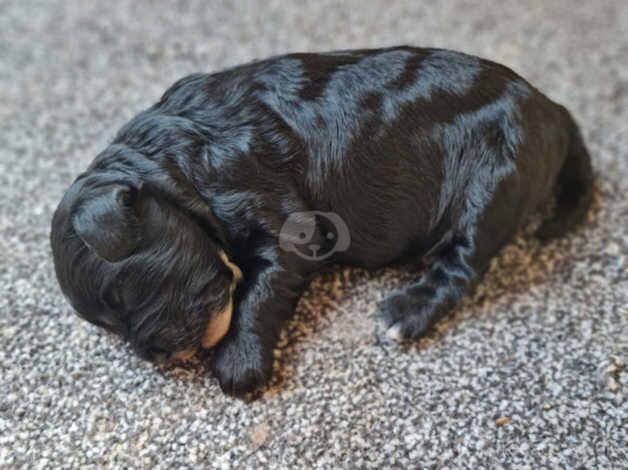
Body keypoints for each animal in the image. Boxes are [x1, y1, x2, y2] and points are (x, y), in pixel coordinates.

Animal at [50, 46, 592, 396]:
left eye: (125, 292)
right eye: (109, 323)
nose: (161, 357)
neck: (173, 163)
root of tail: (553, 110)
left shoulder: (286, 222)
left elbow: (260, 291)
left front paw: (239, 362)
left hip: (493, 185)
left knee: (462, 265)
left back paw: (406, 312)